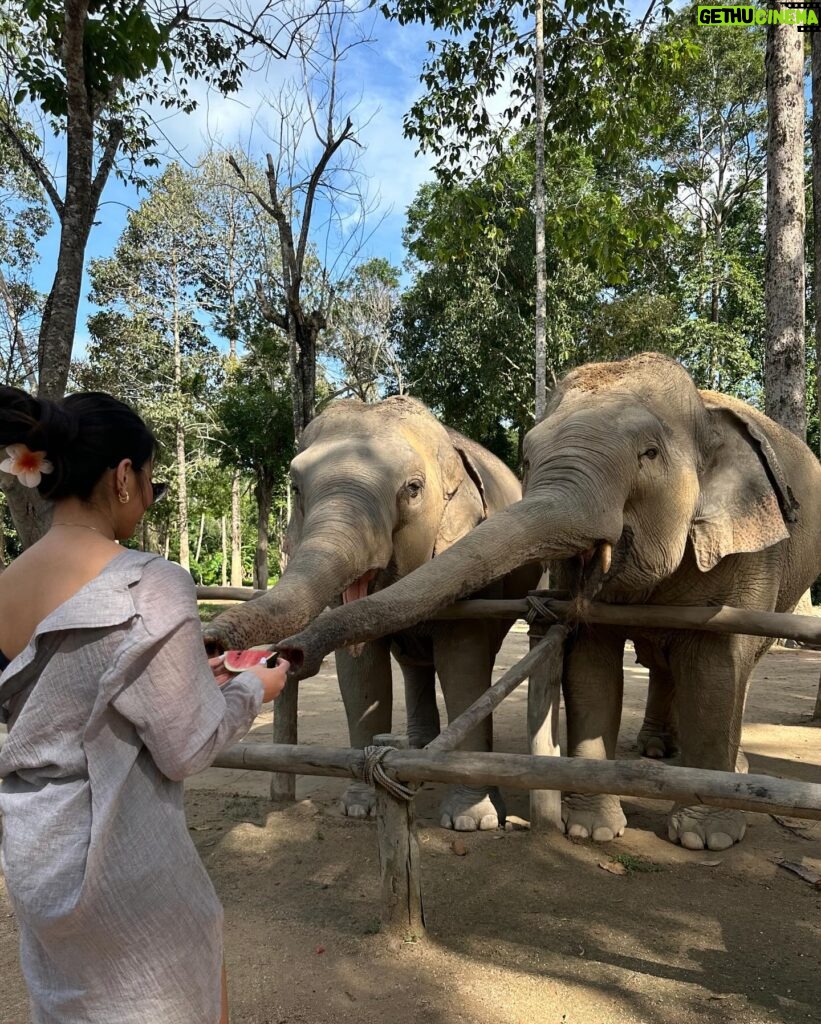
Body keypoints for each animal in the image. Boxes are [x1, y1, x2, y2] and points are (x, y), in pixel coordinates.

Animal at [202, 393, 540, 831]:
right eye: (295, 487)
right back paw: (419, 750)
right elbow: (361, 672)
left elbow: (463, 662)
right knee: (414, 665)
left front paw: (472, 820)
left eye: (413, 489)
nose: (212, 639)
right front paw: (360, 807)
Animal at [276, 356, 818, 851]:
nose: (289, 654)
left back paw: (715, 764)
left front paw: (703, 839)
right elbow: (363, 675)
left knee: (730, 665)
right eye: (294, 488)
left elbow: (714, 665)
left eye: (649, 453)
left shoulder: (746, 550)